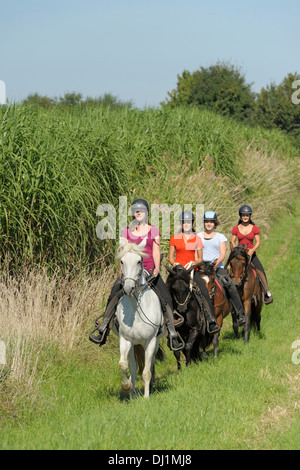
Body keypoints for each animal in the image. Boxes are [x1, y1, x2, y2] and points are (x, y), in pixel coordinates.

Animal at [113, 244, 164, 398]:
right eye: (122, 261)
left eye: (139, 261)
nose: (128, 288)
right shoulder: (125, 339)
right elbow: (124, 364)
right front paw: (126, 386)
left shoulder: (150, 341)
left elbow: (146, 371)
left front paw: (146, 397)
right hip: (133, 344)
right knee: (133, 366)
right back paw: (133, 392)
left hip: (155, 342)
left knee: (150, 363)